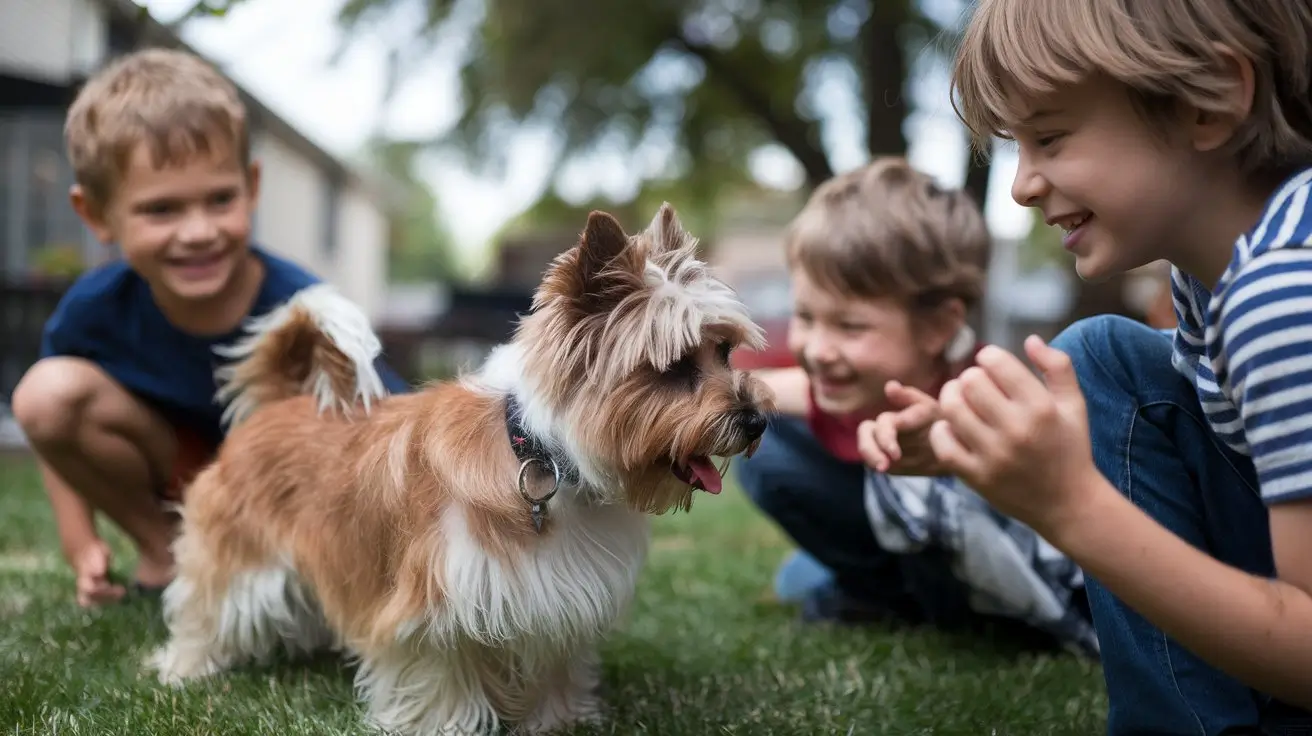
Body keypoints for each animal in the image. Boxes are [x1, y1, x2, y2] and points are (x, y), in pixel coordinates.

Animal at [148, 203, 771, 729]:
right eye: (675, 367)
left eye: (725, 353)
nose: (757, 420)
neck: (540, 453)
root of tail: (282, 402)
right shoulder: (433, 609)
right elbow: (439, 679)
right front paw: (447, 726)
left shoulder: (559, 602)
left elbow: (555, 668)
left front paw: (557, 721)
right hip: (237, 555)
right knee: (205, 605)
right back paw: (186, 667)